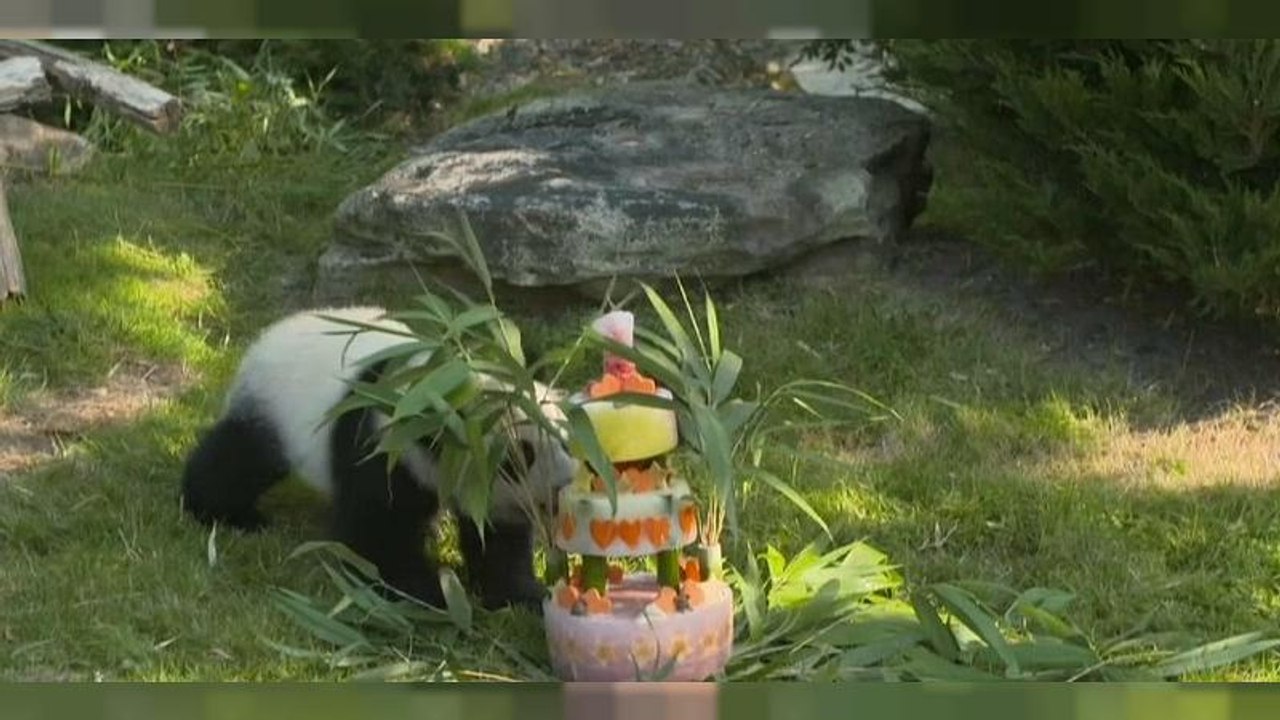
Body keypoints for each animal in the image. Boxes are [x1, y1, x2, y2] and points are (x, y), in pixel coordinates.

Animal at [179, 305, 578, 612]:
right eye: (518, 456)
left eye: (566, 441)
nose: (563, 488)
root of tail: (267, 336)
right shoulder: (381, 445)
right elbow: (378, 532)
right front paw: (430, 593)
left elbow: (498, 538)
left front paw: (522, 594)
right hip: (273, 405)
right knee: (237, 461)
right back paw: (229, 514)